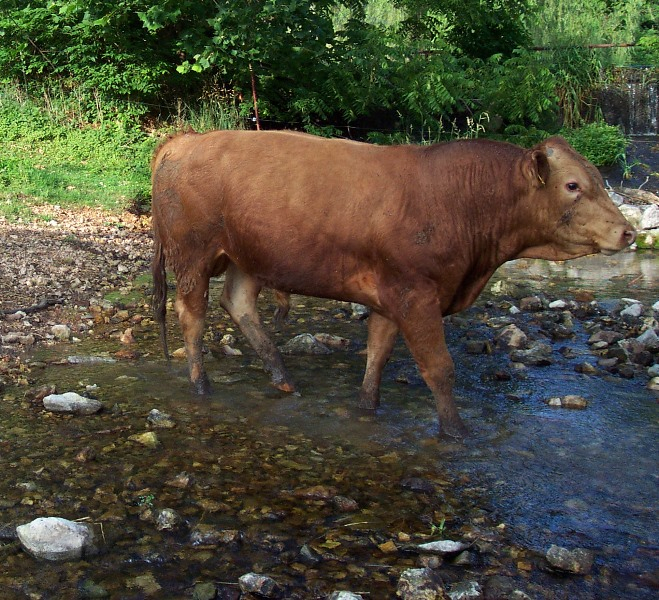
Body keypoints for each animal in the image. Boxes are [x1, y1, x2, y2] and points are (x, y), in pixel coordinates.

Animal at [151, 130, 635, 438]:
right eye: (572, 185)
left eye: (599, 180)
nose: (628, 232)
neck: (464, 202)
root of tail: (185, 139)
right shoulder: (415, 294)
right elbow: (439, 368)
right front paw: (456, 431)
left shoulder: (390, 296)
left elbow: (378, 355)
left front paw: (368, 407)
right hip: (193, 253)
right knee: (191, 315)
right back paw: (201, 384)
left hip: (247, 256)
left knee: (239, 304)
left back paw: (283, 379)